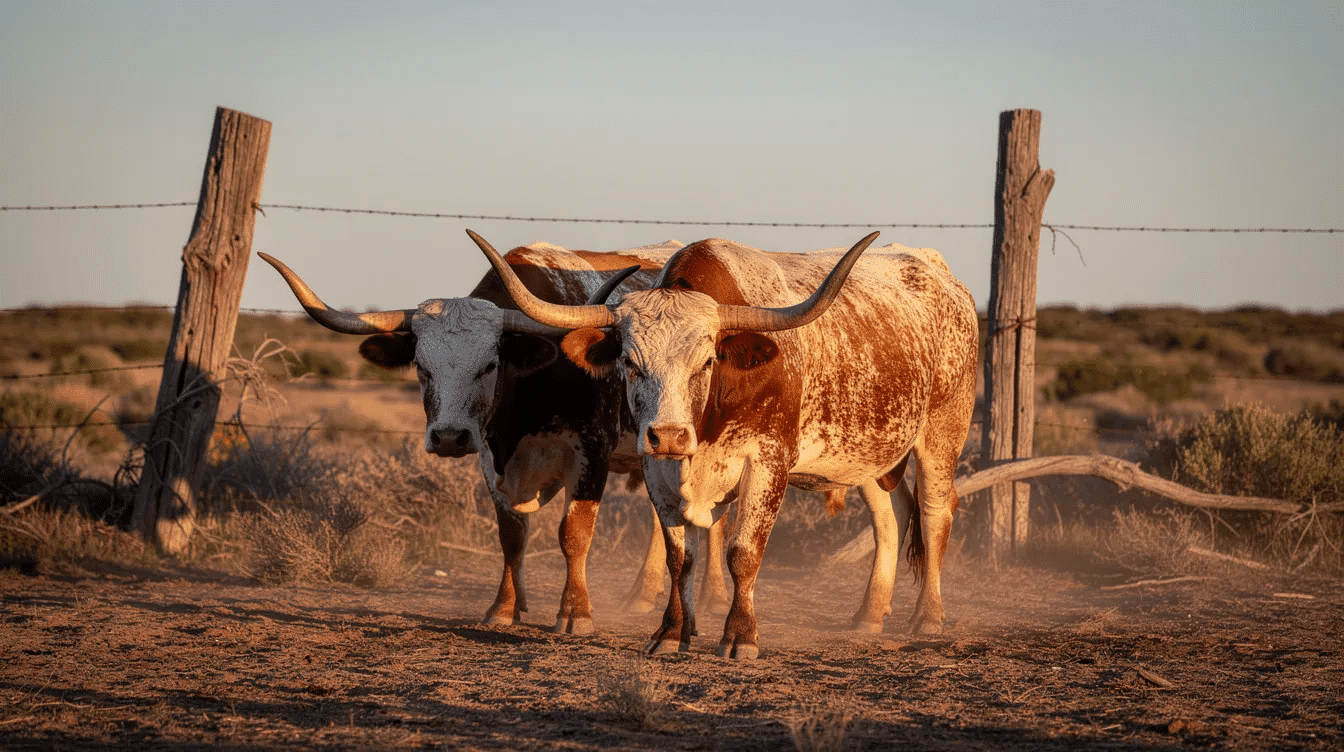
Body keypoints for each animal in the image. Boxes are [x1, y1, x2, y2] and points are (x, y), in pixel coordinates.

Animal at [467, 229, 979, 658]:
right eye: (630, 363)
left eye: (707, 361)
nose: (669, 435)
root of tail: (943, 276)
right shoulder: (658, 469)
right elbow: (681, 555)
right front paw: (673, 631)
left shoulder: (767, 462)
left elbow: (742, 553)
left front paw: (740, 637)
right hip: (867, 454)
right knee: (890, 516)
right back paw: (869, 614)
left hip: (942, 433)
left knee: (935, 512)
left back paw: (927, 617)